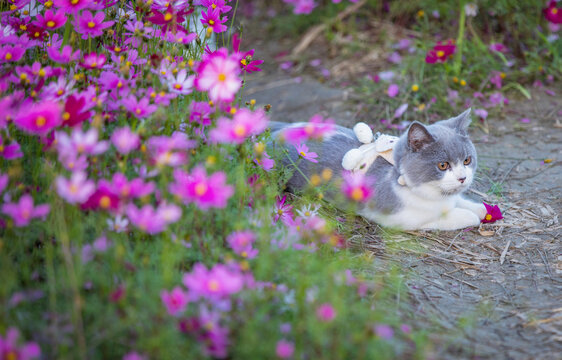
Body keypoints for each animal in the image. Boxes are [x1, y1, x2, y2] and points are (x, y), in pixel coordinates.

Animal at [268, 108, 486, 231]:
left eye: (467, 160)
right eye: (443, 165)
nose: (462, 178)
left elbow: (461, 200)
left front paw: (479, 207)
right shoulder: (400, 219)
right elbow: (446, 217)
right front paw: (470, 215)